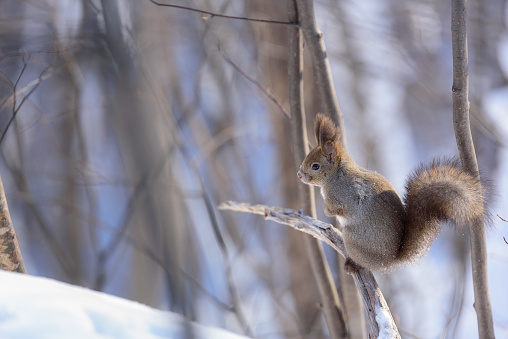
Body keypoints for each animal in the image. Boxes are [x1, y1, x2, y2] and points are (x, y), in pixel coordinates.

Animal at [298, 114, 488, 274]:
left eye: (315, 166)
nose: (299, 175)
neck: (336, 175)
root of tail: (390, 261)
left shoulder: (342, 196)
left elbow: (337, 209)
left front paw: (326, 211)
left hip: (352, 240)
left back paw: (353, 264)